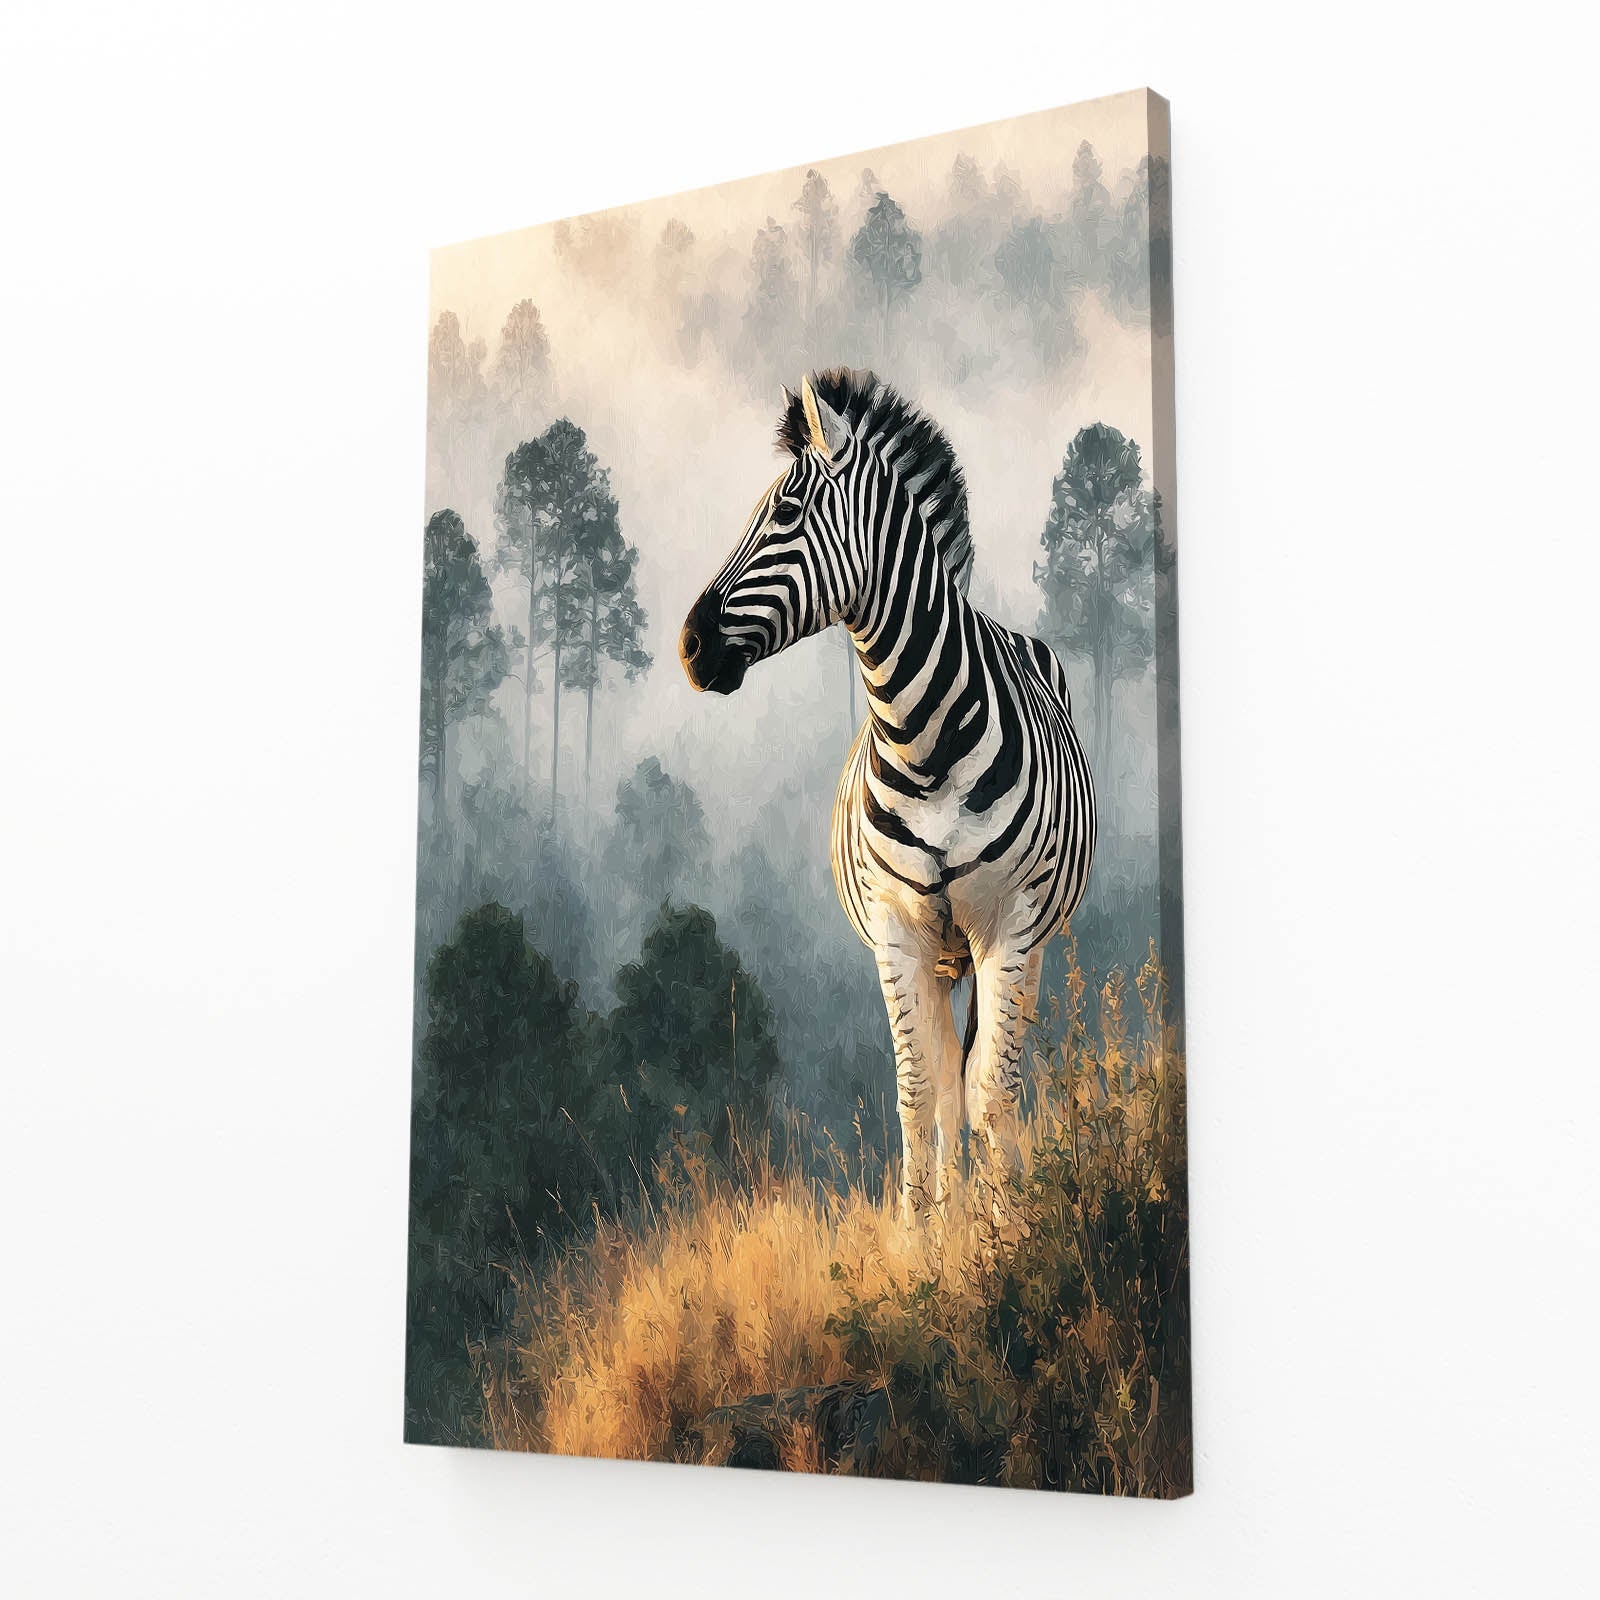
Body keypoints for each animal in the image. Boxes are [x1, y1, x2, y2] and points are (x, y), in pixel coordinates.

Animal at [680, 369, 1095, 1222]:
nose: (691, 645)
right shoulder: (897, 927)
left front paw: (1012, 1235)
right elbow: (918, 1092)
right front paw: (922, 1238)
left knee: (987, 1078)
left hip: (1027, 941)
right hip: (937, 954)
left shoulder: (1009, 924)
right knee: (944, 1084)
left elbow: (992, 1092)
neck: (922, 736)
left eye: (786, 514)